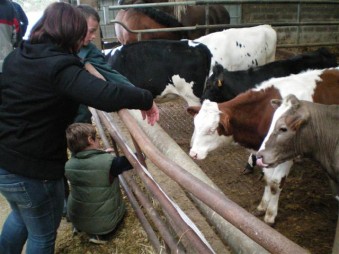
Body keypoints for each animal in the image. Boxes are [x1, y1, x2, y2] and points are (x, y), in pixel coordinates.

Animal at [187, 67, 339, 224]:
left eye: (211, 130)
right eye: (195, 124)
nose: (193, 153)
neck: (264, 113)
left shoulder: (285, 154)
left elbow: (275, 183)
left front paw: (270, 215)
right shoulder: (265, 154)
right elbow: (267, 178)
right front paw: (262, 207)